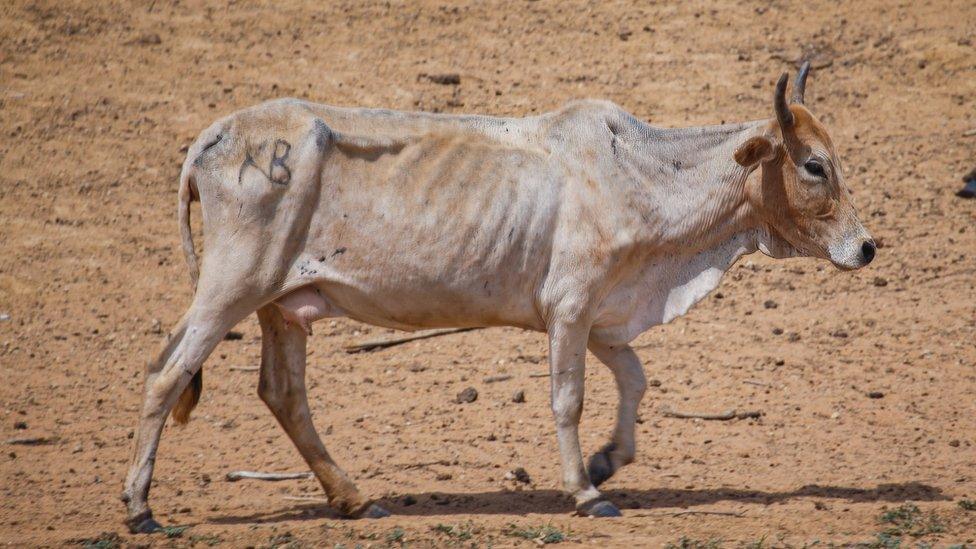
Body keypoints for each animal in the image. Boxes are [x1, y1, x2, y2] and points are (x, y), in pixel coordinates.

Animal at [122, 63, 876, 532]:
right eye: (815, 165)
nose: (867, 247)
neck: (643, 173)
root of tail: (216, 135)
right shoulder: (571, 305)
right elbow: (569, 399)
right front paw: (585, 491)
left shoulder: (602, 315)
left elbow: (635, 379)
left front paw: (607, 460)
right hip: (232, 285)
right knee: (164, 373)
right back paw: (139, 507)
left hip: (283, 305)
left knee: (283, 393)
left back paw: (354, 498)